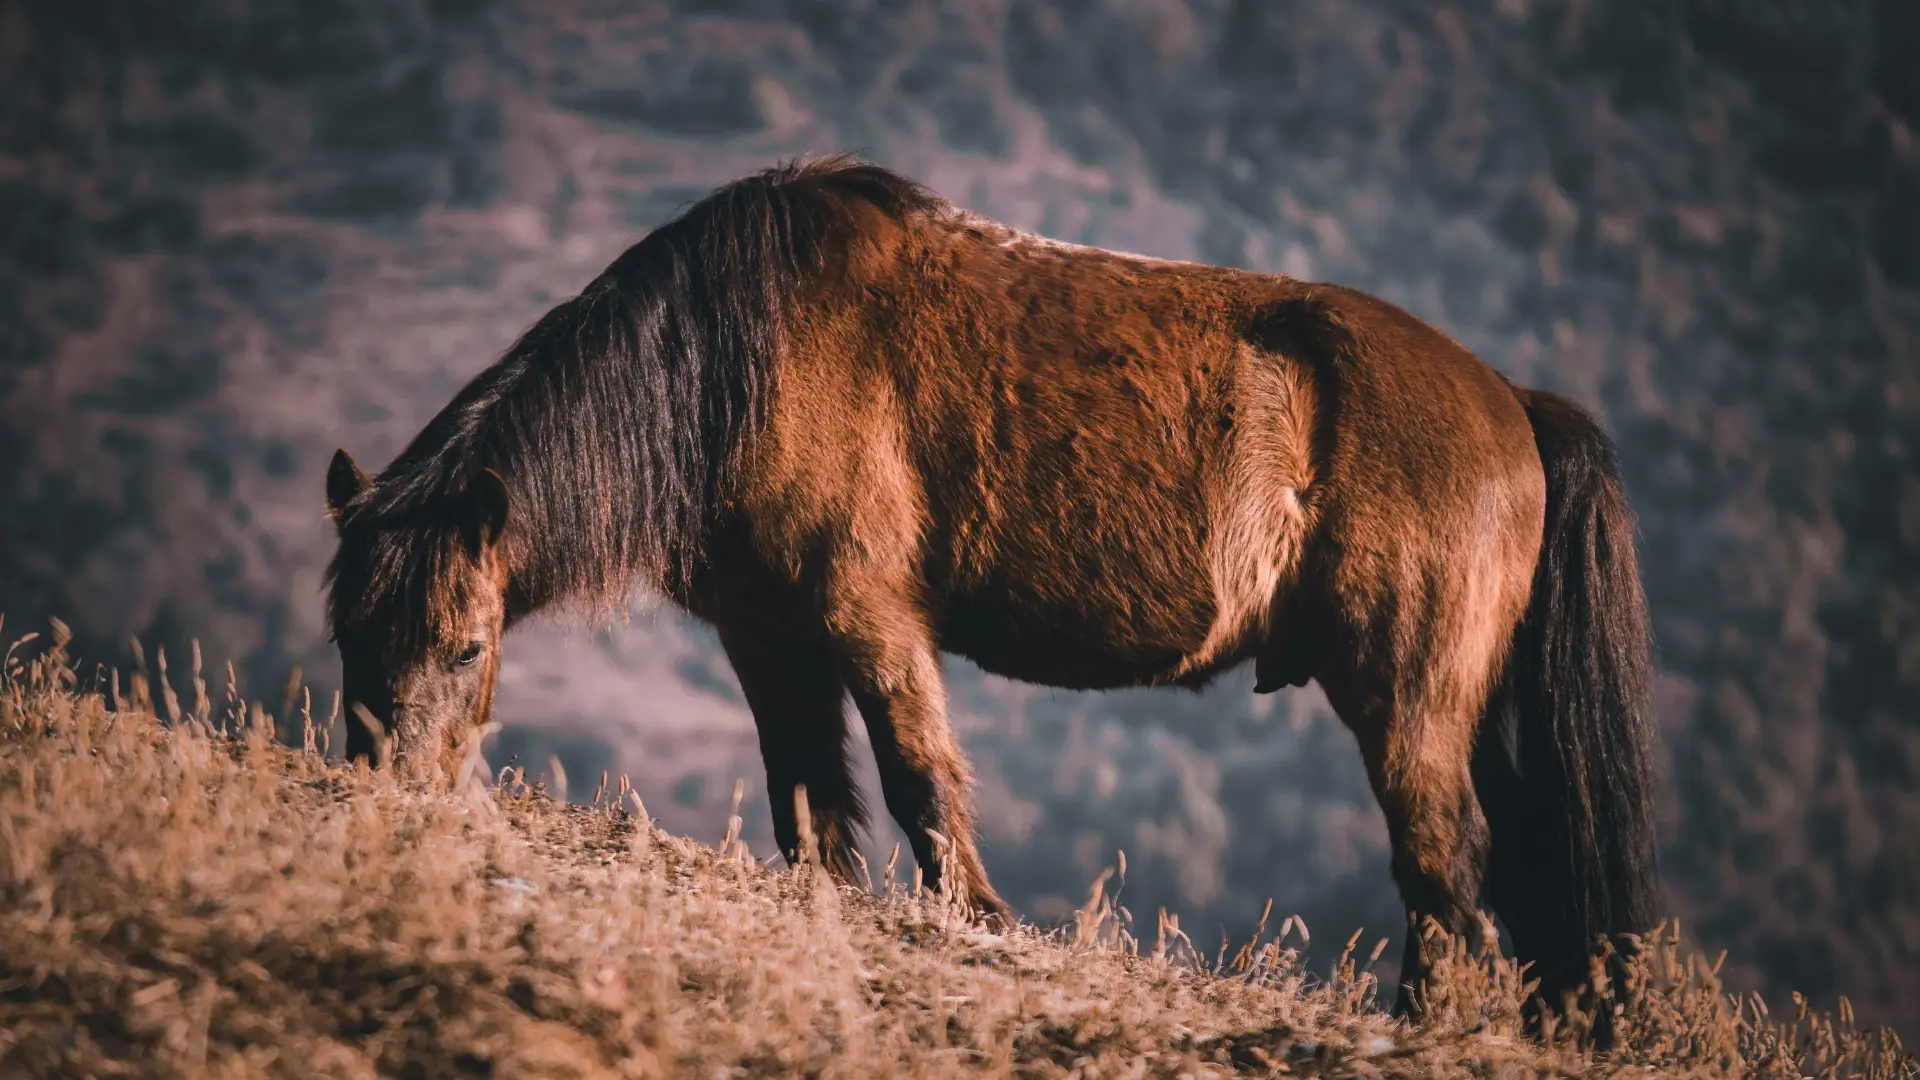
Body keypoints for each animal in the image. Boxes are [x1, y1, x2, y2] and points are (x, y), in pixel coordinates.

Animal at [322, 153, 1662, 1017]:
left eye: (464, 647)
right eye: (344, 639)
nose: (390, 802)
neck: (736, 361)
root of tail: (1509, 404)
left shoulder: (868, 617)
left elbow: (918, 772)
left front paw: (978, 918)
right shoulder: (767, 638)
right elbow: (811, 798)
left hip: (1406, 699)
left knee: (1445, 866)